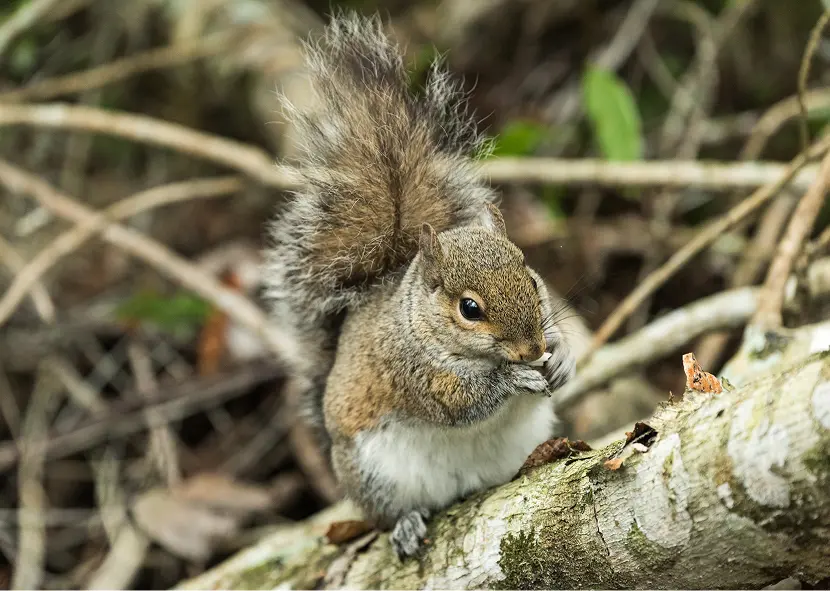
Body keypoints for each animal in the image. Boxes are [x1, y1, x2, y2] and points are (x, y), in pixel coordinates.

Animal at [263, 12, 574, 559]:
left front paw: (560, 359)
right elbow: (460, 404)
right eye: (469, 309)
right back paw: (405, 523)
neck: (419, 323)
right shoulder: (413, 373)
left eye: (531, 278)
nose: (532, 349)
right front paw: (514, 379)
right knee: (385, 514)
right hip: (374, 474)